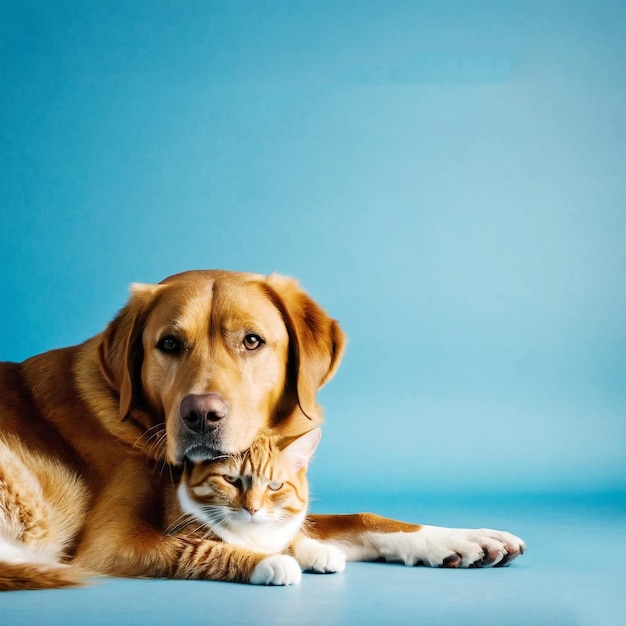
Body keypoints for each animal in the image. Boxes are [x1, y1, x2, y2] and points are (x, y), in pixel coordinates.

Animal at [172, 426, 346, 584]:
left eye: (275, 486)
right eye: (231, 480)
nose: (252, 508)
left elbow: (292, 537)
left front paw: (318, 550)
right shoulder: (178, 547)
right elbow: (220, 553)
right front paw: (274, 562)